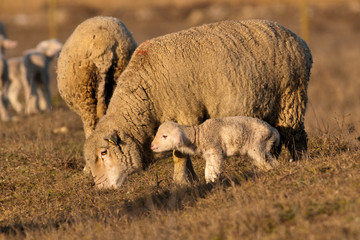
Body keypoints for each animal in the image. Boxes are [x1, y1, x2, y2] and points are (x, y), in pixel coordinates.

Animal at [150, 117, 280, 183]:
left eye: (164, 136)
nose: (152, 146)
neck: (199, 136)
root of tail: (274, 131)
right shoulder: (209, 156)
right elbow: (208, 170)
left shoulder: (215, 152)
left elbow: (212, 171)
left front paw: (213, 183)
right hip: (264, 148)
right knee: (271, 162)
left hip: (258, 147)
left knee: (267, 163)